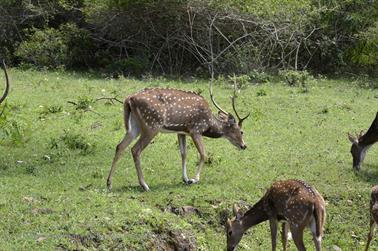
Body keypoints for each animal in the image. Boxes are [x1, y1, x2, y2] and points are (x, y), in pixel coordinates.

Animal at [106, 83, 250, 191]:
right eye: (241, 131)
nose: (244, 145)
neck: (209, 124)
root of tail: (129, 99)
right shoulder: (195, 130)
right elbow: (203, 154)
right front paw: (194, 179)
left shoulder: (182, 131)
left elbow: (183, 153)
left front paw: (185, 178)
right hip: (151, 125)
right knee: (135, 149)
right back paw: (145, 185)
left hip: (134, 126)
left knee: (120, 146)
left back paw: (109, 183)